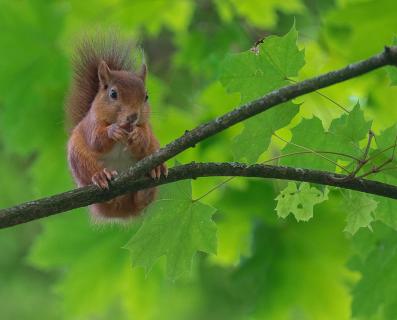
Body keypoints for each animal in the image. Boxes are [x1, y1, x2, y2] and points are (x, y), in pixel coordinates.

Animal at [64, 35, 166, 220]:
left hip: (154, 150)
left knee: (141, 200)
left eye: (146, 96)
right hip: (79, 158)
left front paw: (138, 135)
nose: (133, 116)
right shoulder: (91, 124)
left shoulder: (146, 127)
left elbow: (145, 139)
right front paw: (113, 131)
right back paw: (101, 176)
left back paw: (153, 174)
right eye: (113, 93)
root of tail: (122, 209)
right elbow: (96, 139)